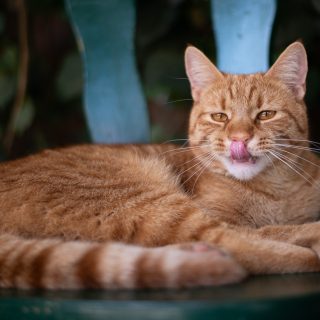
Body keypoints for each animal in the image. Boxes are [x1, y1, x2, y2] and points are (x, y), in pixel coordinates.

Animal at [0, 42, 320, 290]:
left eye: (265, 114)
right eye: (219, 117)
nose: (238, 138)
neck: (277, 190)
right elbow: (268, 229)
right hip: (144, 198)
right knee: (229, 239)